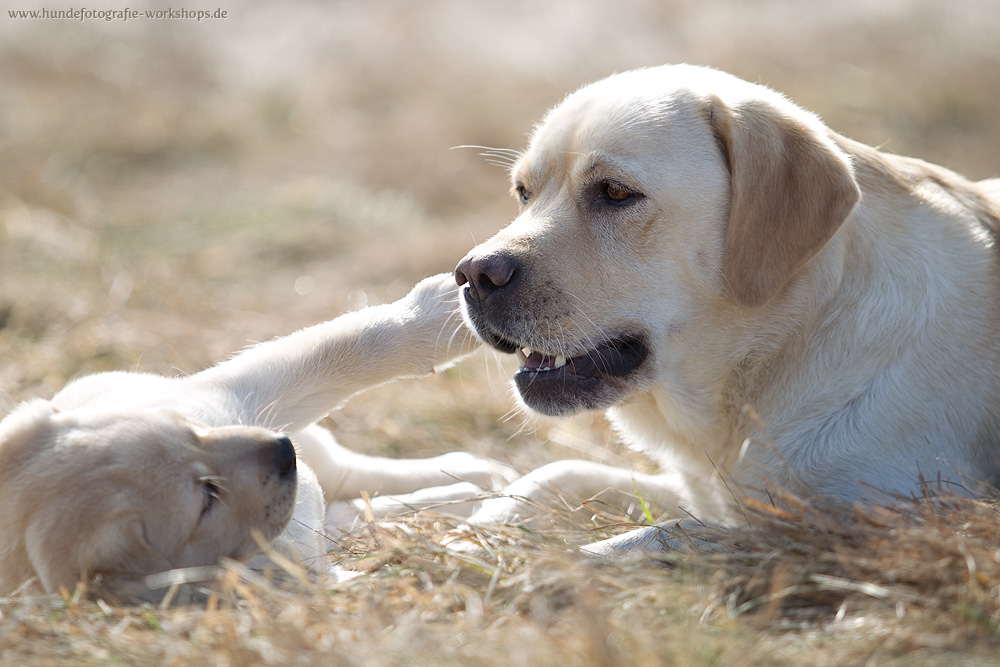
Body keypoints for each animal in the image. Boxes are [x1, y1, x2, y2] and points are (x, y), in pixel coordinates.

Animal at [0, 274, 492, 604]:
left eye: (187, 428)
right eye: (206, 498)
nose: (283, 448)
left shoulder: (236, 393)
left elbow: (352, 343)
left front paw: (441, 309)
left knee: (351, 476)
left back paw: (473, 474)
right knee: (347, 505)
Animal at [458, 64, 1000, 552]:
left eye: (614, 192)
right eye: (523, 194)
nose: (473, 275)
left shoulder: (885, 516)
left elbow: (655, 537)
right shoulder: (699, 488)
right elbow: (561, 470)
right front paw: (474, 529)